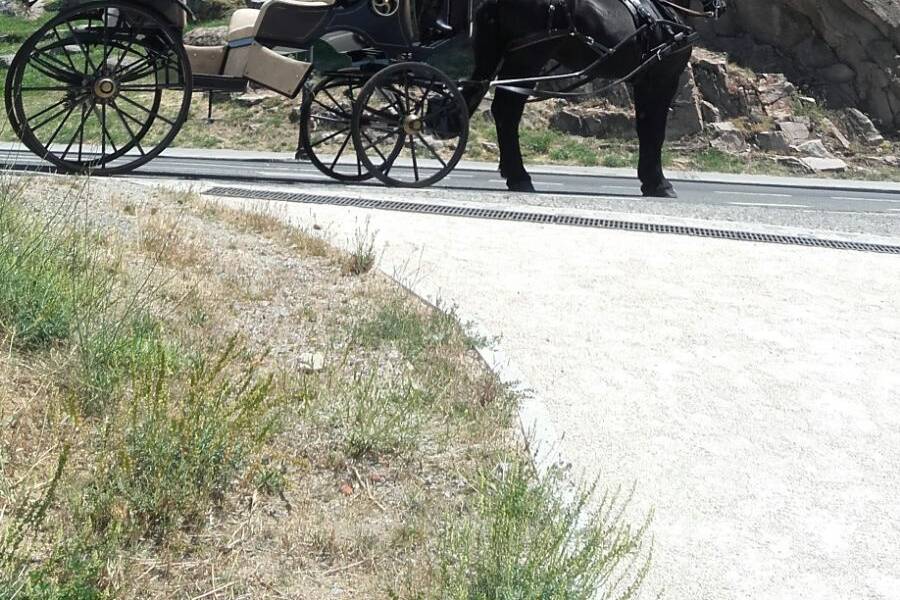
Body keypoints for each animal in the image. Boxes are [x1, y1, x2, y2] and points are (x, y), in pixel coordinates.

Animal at [464, 0, 724, 197]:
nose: (719, 7)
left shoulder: (644, 82)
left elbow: (645, 129)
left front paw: (649, 180)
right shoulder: (663, 80)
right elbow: (655, 131)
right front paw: (659, 183)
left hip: (493, 62)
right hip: (525, 62)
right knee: (506, 112)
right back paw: (519, 176)